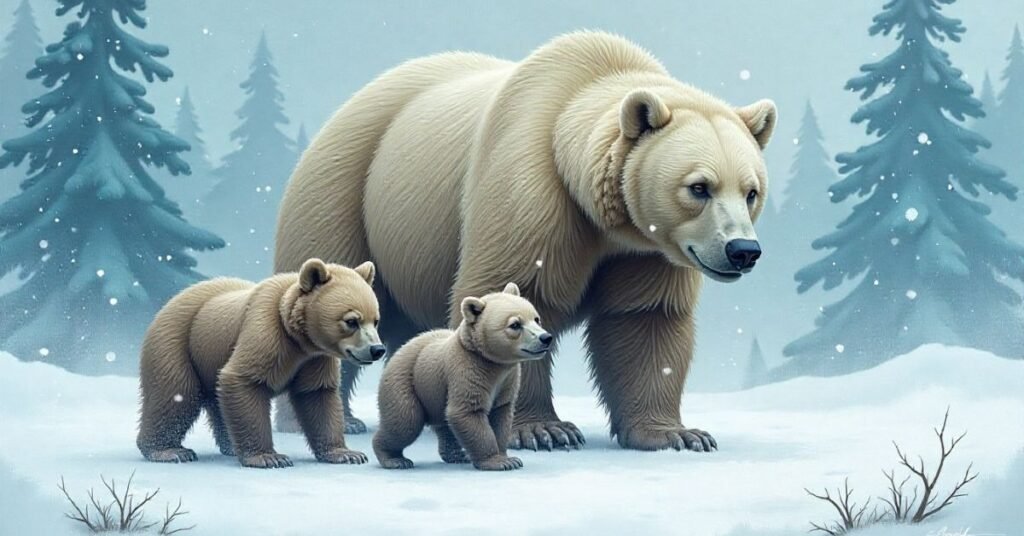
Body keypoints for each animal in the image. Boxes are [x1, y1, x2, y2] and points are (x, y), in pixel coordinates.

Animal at [136, 258, 386, 468]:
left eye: (375, 320)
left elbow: (317, 394)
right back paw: (169, 450)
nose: (377, 350)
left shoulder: (314, 358)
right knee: (176, 394)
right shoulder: (266, 330)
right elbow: (243, 379)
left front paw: (346, 454)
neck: (296, 335)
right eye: (351, 321)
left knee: (216, 399)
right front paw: (268, 457)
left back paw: (229, 445)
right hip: (177, 342)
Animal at [274, 31, 775, 452]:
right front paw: (543, 430)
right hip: (345, 193)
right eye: (699, 187)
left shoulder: (643, 250)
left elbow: (644, 319)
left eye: (751, 191)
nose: (743, 252)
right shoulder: (532, 191)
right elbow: (517, 290)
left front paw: (677, 434)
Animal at [373, 283, 552, 471]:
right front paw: (499, 461)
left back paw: (458, 455)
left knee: (444, 424)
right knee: (405, 422)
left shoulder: (508, 379)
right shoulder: (467, 369)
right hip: (405, 382)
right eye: (515, 324)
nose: (546, 337)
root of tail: (400, 350)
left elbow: (501, 414)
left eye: (536, 318)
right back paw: (394, 459)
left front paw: (508, 457)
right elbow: (467, 411)